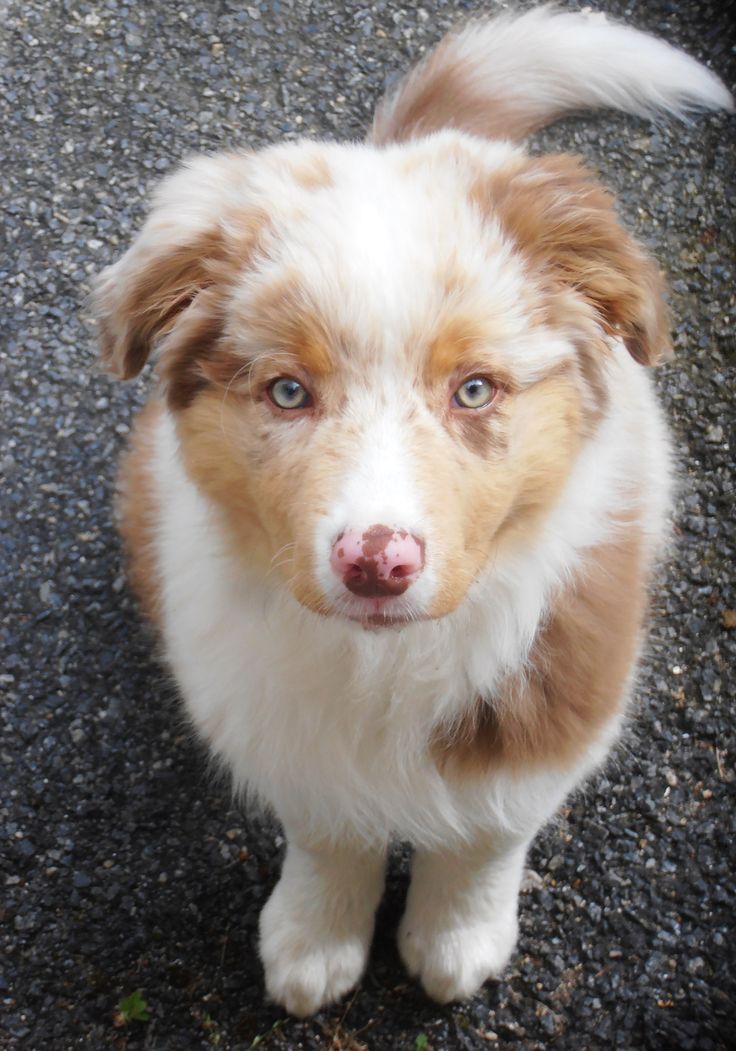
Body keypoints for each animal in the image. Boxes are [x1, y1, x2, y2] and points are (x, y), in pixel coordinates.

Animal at [94, 2, 731, 1017]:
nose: (377, 564)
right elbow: (327, 826)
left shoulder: (565, 675)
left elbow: (489, 829)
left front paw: (457, 936)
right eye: (287, 392)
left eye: (474, 390)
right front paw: (315, 936)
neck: (385, 661)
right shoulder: (271, 702)